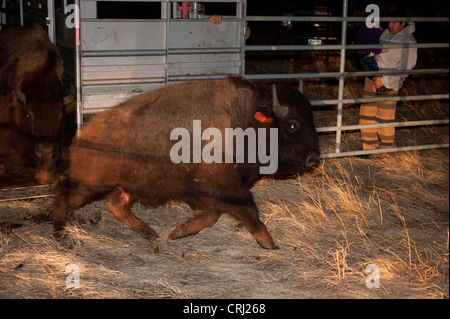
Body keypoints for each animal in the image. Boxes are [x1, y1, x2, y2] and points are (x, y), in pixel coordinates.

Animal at [53, 77, 320, 250]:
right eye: (293, 124)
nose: (314, 157)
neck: (248, 121)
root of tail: (82, 135)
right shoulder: (228, 189)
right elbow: (249, 212)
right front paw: (269, 243)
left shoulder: (209, 193)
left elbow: (211, 216)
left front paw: (177, 233)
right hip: (88, 186)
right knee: (63, 194)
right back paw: (60, 235)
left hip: (125, 187)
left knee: (115, 205)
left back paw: (149, 233)